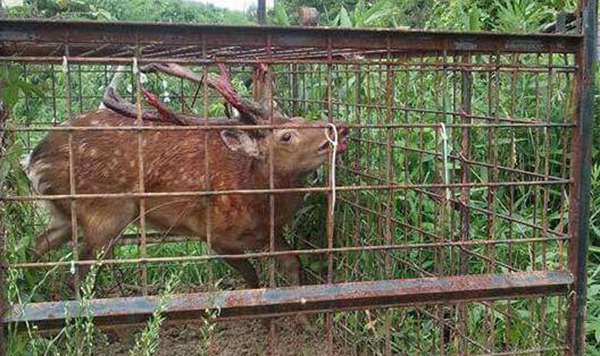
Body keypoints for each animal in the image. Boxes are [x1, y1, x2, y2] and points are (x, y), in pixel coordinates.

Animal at [25, 62, 350, 294]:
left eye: (301, 117)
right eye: (286, 136)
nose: (340, 128)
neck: (255, 199)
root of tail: (33, 159)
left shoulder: (270, 231)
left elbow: (294, 264)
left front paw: (302, 320)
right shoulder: (214, 234)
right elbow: (252, 277)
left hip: (66, 213)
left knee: (35, 245)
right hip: (106, 213)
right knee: (77, 273)